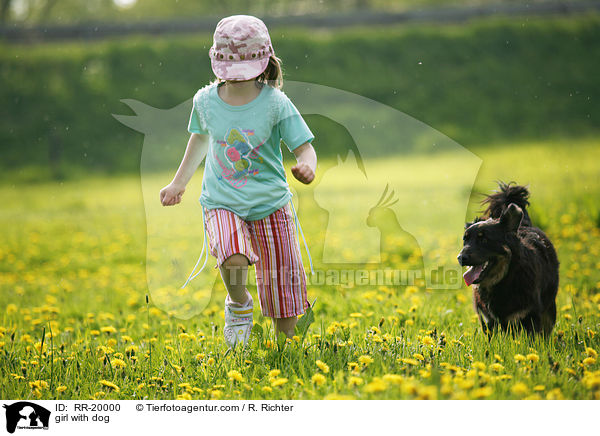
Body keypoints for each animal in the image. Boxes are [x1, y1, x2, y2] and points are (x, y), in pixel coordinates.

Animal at [458, 182, 560, 336]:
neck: (503, 280)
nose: (460, 258)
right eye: (465, 239)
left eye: (484, 239)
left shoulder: (530, 316)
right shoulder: (488, 321)